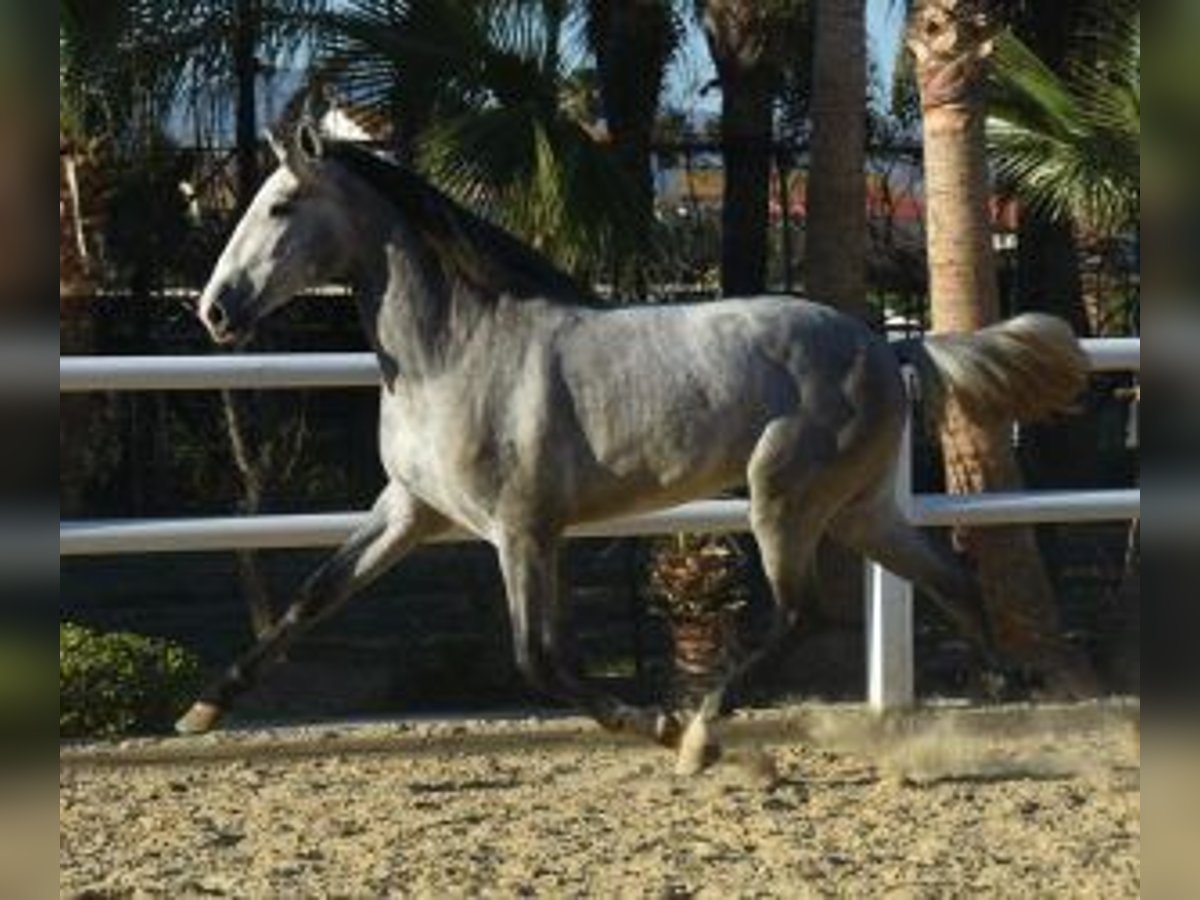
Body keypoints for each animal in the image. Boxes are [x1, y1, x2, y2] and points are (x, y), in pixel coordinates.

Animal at [180, 121, 1089, 777]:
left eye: (280, 206)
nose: (215, 311)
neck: (454, 353)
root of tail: (888, 345)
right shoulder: (411, 510)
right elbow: (312, 598)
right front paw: (201, 710)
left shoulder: (521, 531)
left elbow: (539, 662)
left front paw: (656, 724)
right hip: (858, 510)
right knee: (950, 579)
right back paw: (1018, 692)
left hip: (784, 500)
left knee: (803, 613)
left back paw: (701, 737)